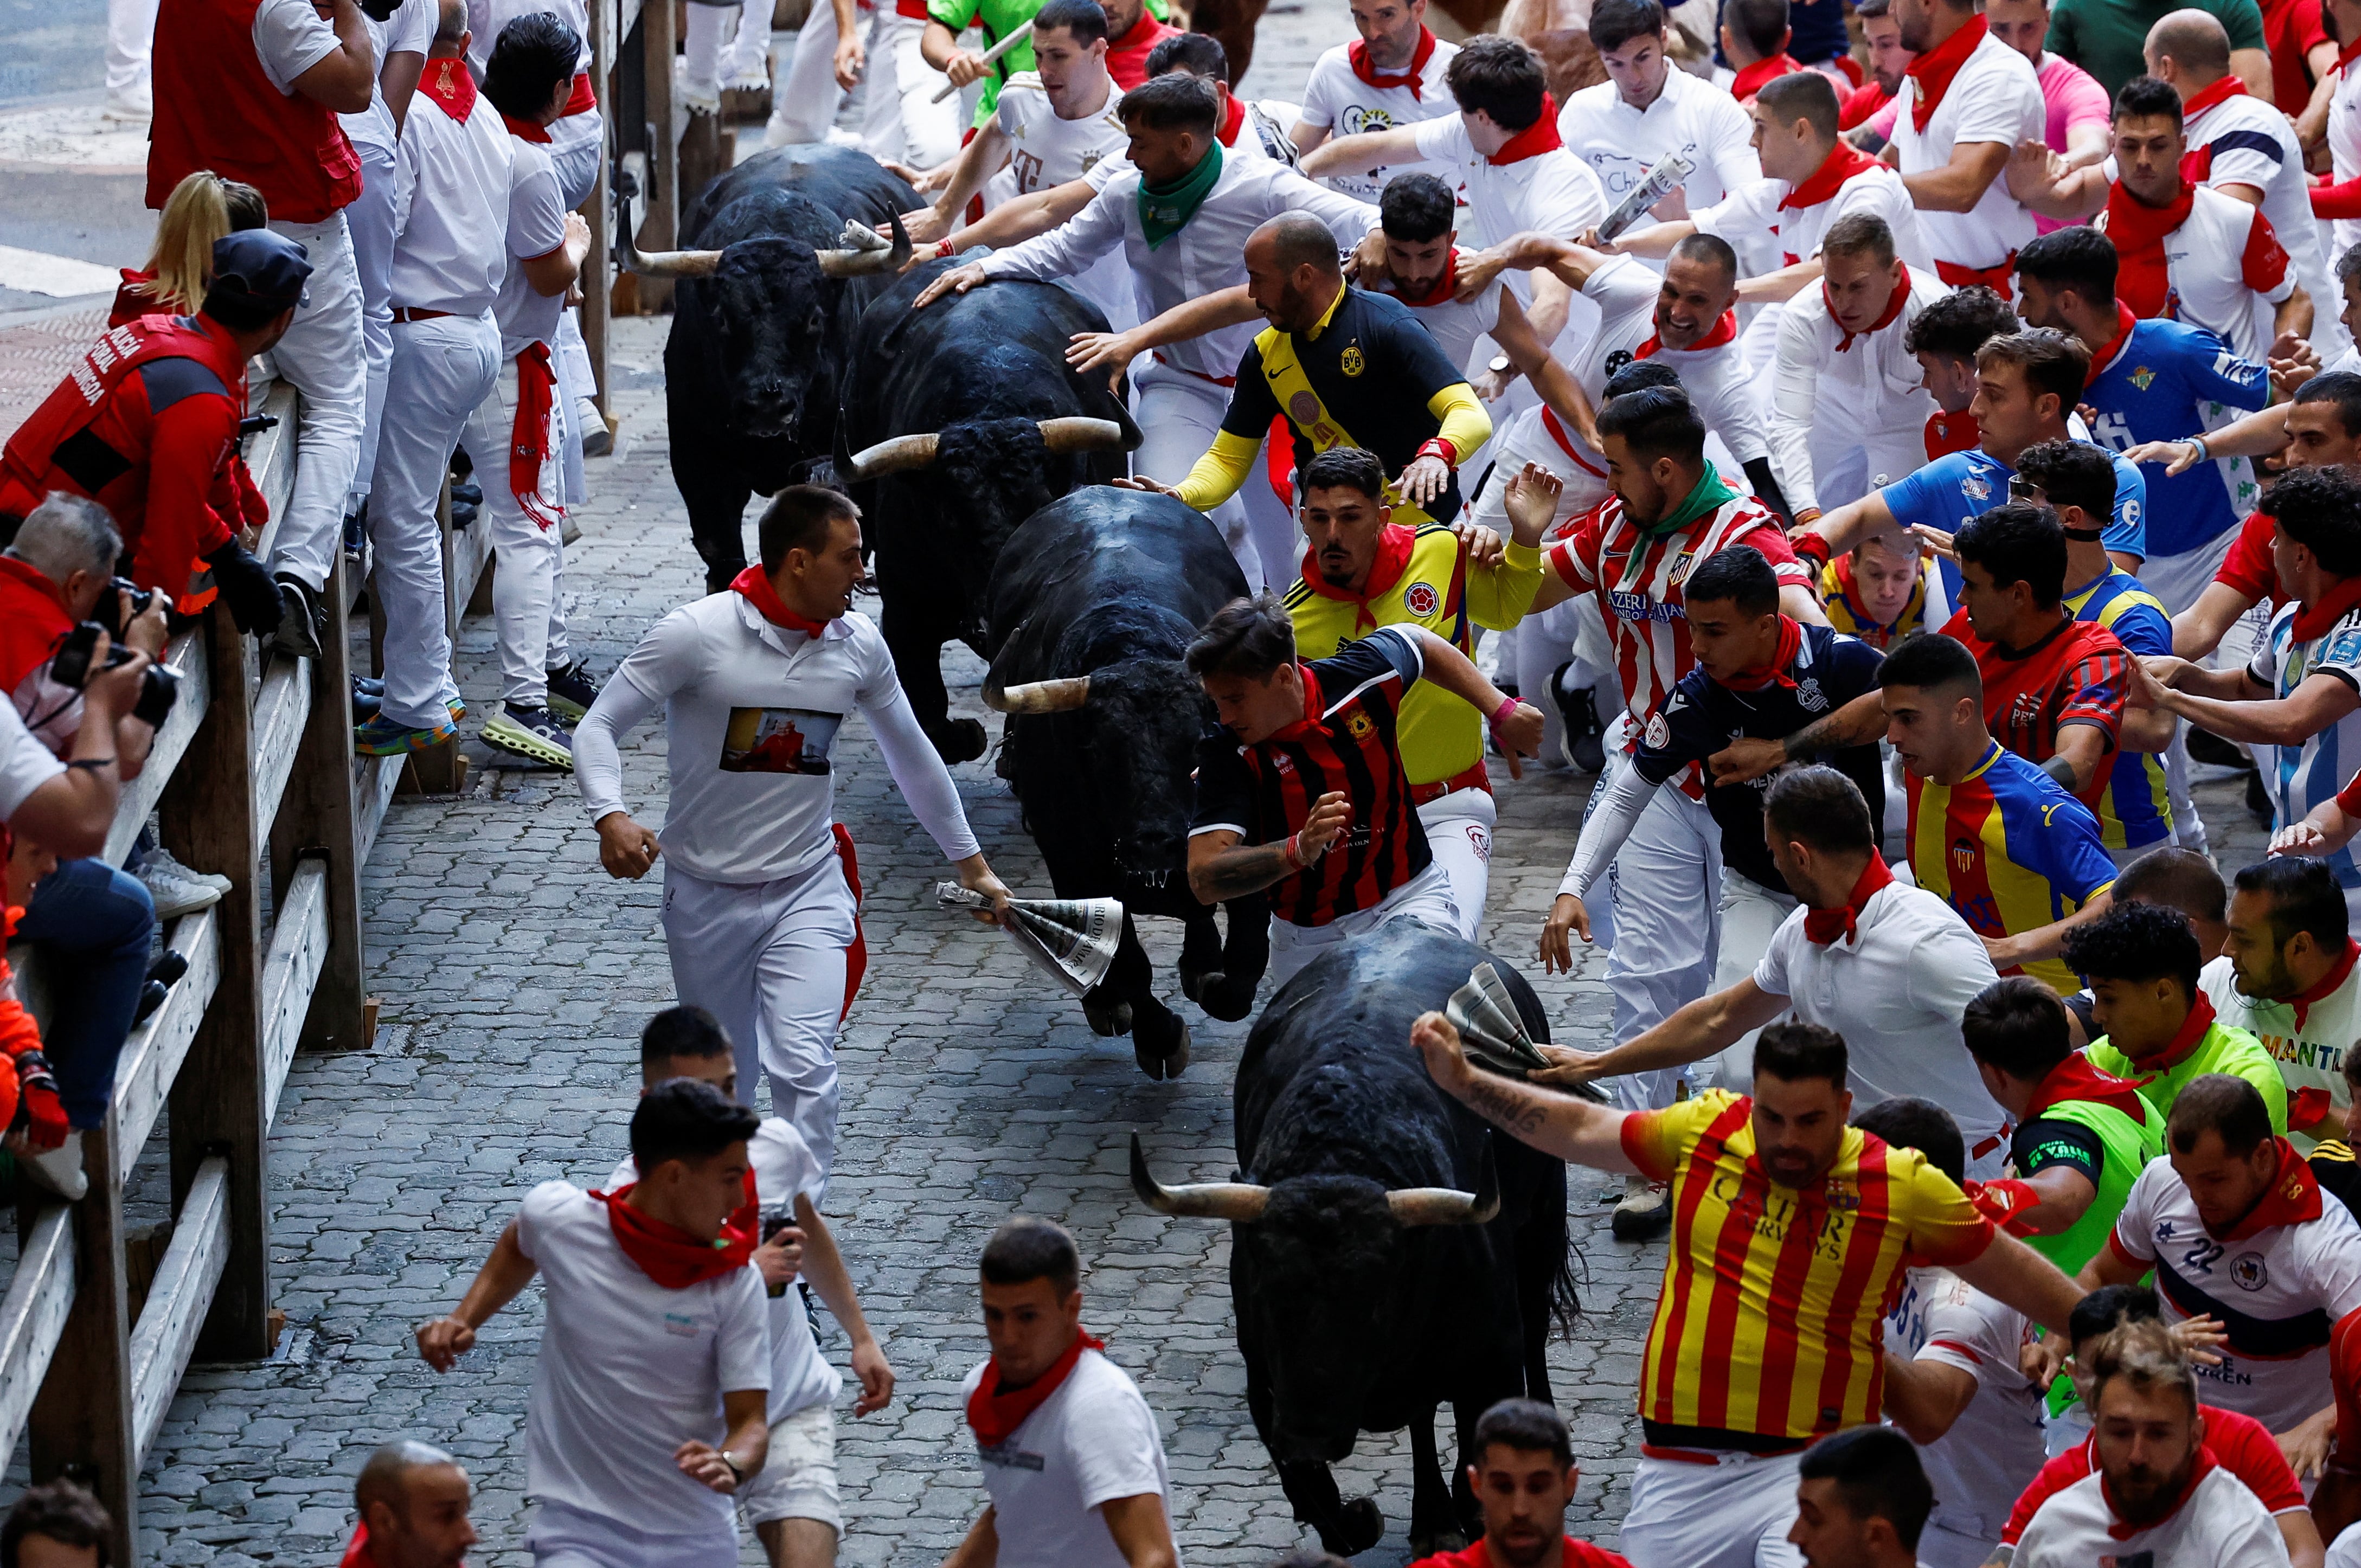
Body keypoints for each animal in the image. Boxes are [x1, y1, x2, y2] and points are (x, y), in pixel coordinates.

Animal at [982, 491, 1275, 1077]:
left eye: (1199, 749)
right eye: (1098, 753)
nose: (1154, 846)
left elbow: (1248, 946)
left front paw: (1213, 982)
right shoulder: (1072, 854)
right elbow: (1127, 959)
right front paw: (1160, 1038)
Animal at [1133, 930, 1577, 1558]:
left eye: (1372, 1301)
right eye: (1268, 1292)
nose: (1310, 1432)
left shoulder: (1491, 1356)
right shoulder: (1266, 1376)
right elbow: (1314, 1491)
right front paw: (1360, 1518)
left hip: (1540, 1225)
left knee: (1535, 1332)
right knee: (1420, 1415)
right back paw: (1430, 1517)